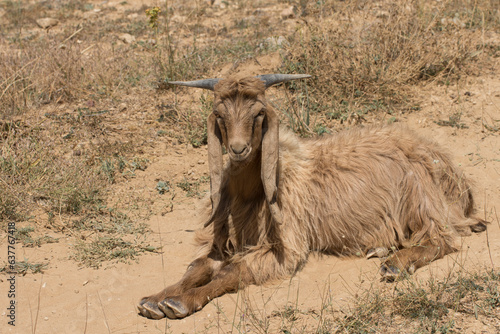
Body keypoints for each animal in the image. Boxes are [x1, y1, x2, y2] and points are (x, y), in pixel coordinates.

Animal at [136, 74, 484, 320]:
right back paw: (381, 248)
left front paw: (180, 302)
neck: (251, 194)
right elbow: (197, 266)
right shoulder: (225, 238)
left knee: (443, 239)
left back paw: (395, 264)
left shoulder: (285, 247)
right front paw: (155, 300)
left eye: (258, 114)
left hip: (420, 198)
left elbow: (231, 272)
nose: (238, 149)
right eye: (219, 115)